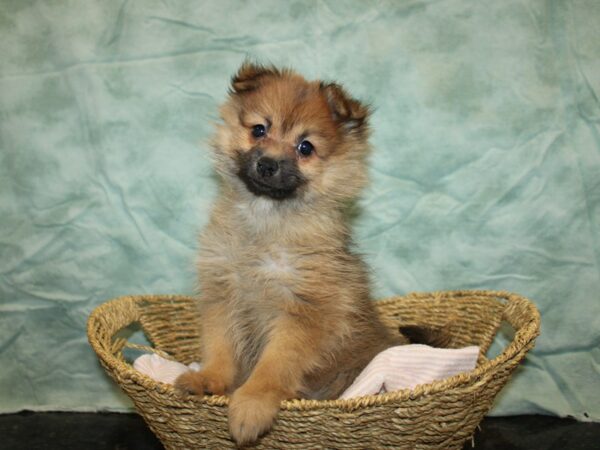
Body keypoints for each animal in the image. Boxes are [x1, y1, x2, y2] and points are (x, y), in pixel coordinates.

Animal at [176, 61, 406, 444]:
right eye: (259, 129)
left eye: (305, 147)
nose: (268, 164)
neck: (265, 221)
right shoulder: (223, 293)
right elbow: (221, 347)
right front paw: (210, 380)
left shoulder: (302, 311)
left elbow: (275, 365)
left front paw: (252, 404)